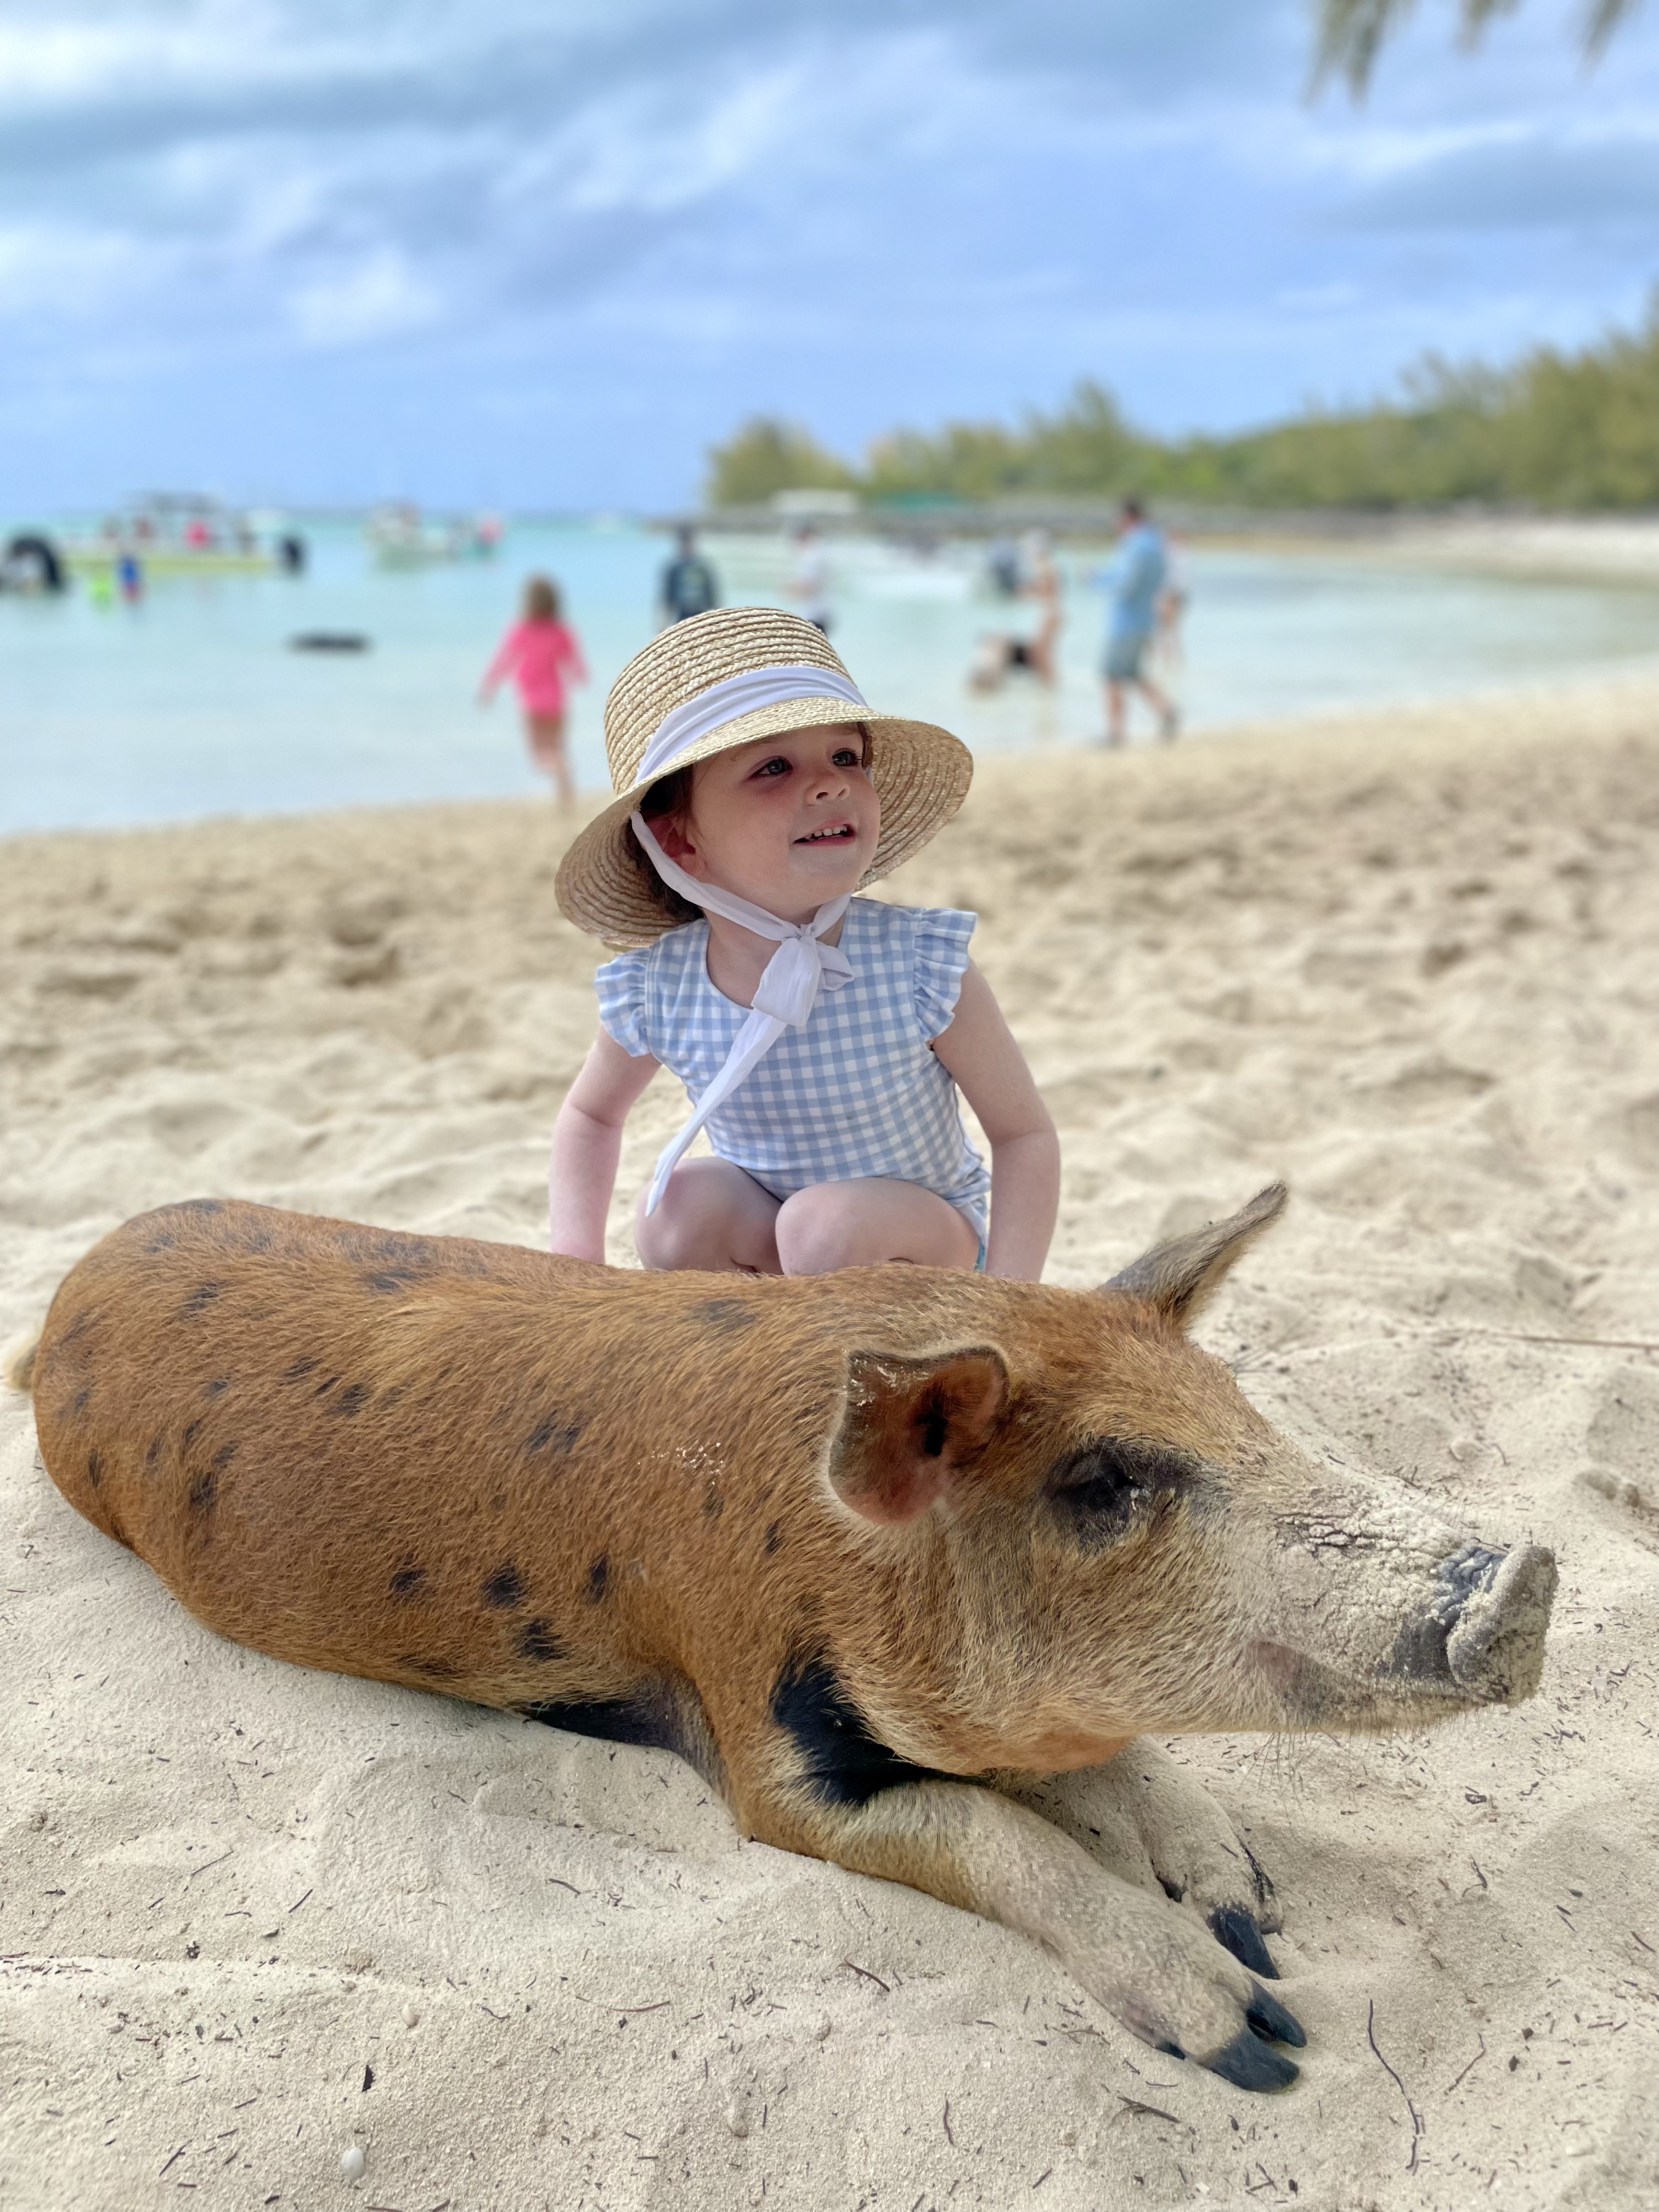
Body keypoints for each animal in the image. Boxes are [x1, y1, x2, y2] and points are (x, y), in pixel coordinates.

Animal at [9, 1184, 1555, 2093]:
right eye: (1102, 1481)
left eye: (1245, 1411)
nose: (1527, 1573)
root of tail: (63, 1297)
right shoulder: (757, 1727)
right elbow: (995, 1831)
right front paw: (1264, 2040)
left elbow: (1112, 1764)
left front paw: (1253, 1913)